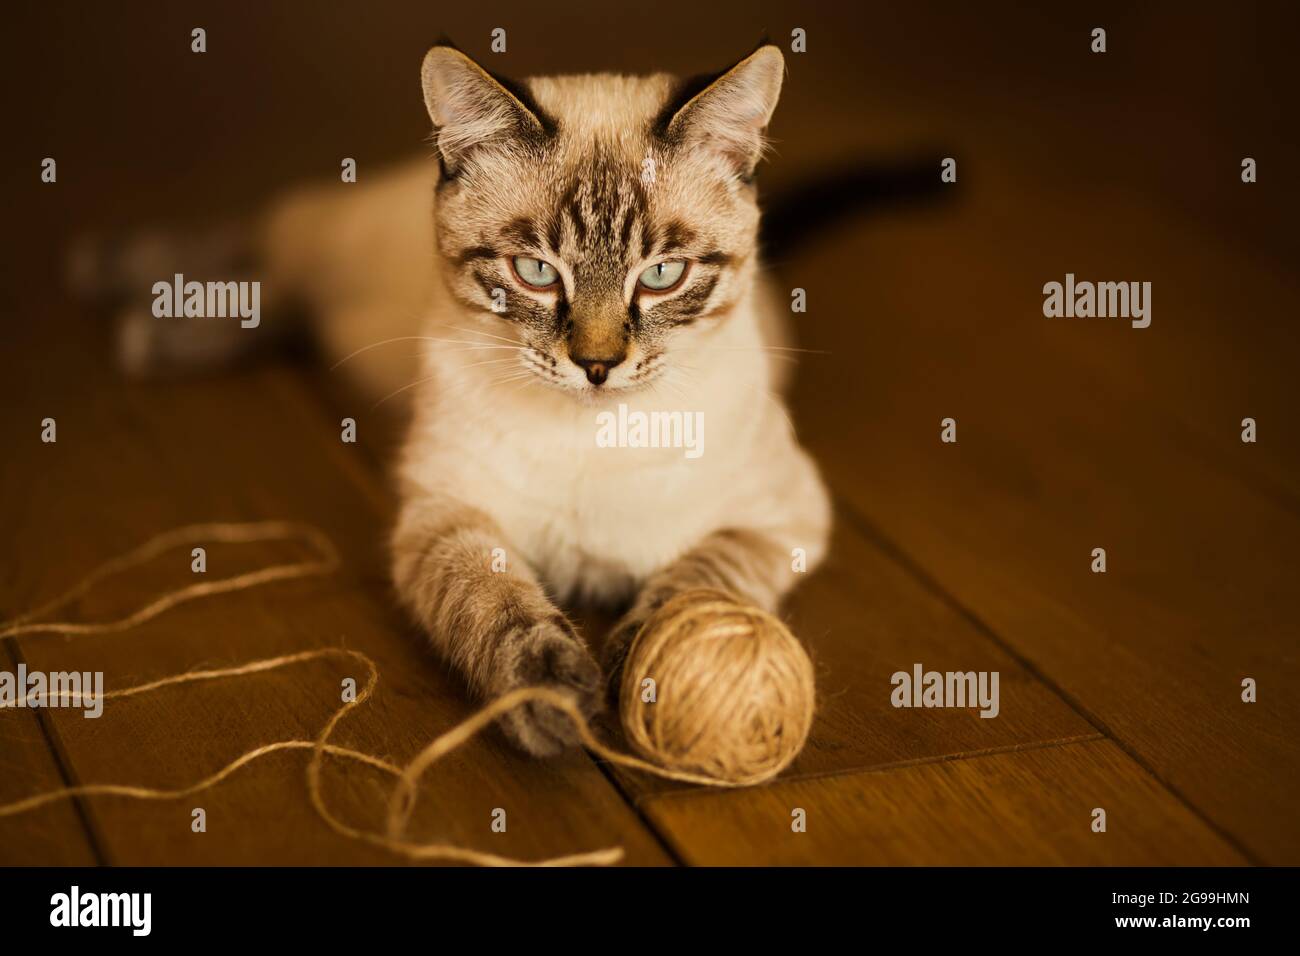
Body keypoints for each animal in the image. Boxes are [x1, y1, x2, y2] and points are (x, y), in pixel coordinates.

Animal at [89, 41, 832, 759]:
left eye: (661, 276)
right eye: (535, 272)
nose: (596, 366)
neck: (591, 436)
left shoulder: (779, 520)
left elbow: (699, 582)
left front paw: (642, 668)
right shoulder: (446, 516)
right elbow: (493, 606)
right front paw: (551, 695)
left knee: (283, 295)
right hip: (328, 244)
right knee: (267, 248)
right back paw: (127, 290)